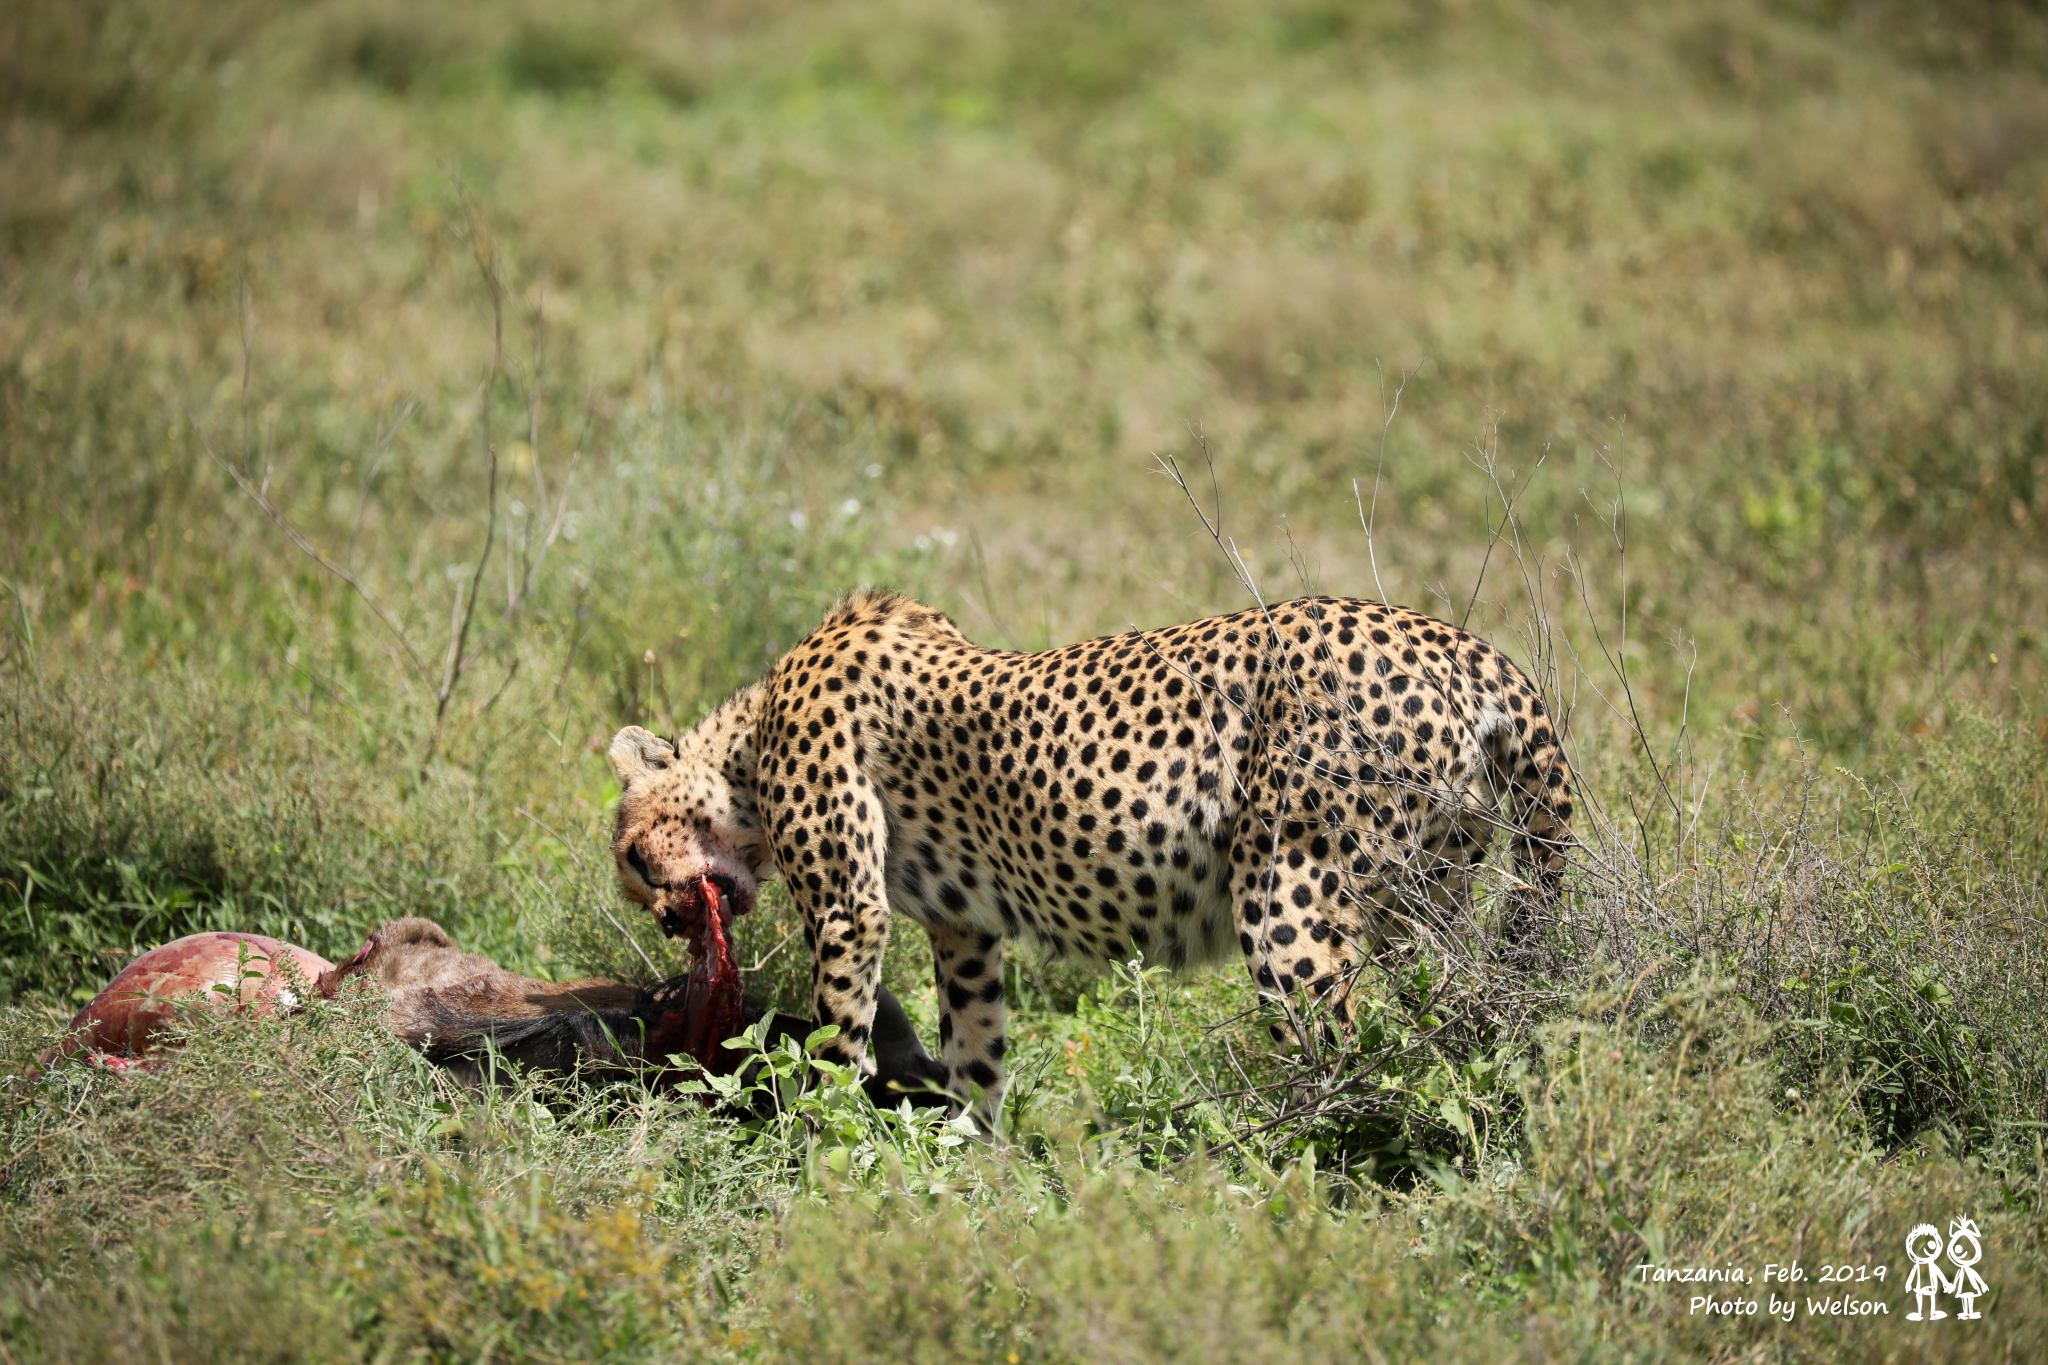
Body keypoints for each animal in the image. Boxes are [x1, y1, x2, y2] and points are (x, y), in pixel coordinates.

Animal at [602, 593, 1564, 1121]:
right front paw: (972, 1160)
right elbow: (977, 1047)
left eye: (632, 859)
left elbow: (837, 1043)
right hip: (1424, 900)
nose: (667, 920)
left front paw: (812, 1157)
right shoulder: (964, 929)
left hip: (1288, 898)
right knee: (1461, 1014)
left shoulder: (849, 909)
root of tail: (1463, 644)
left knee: (1339, 1050)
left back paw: (1295, 1169)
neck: (749, 739)